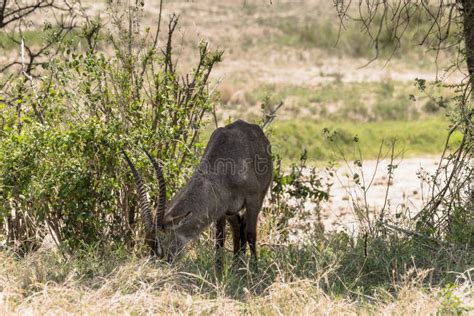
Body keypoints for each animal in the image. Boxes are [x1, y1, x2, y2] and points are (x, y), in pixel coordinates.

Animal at [122, 119, 272, 266]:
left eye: (161, 241)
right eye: (148, 243)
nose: (160, 265)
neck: (225, 170)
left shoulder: (253, 199)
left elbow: (251, 234)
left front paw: (255, 270)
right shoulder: (221, 210)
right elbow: (219, 240)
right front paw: (219, 270)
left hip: (258, 198)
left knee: (245, 227)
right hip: (231, 211)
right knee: (237, 226)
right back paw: (237, 265)